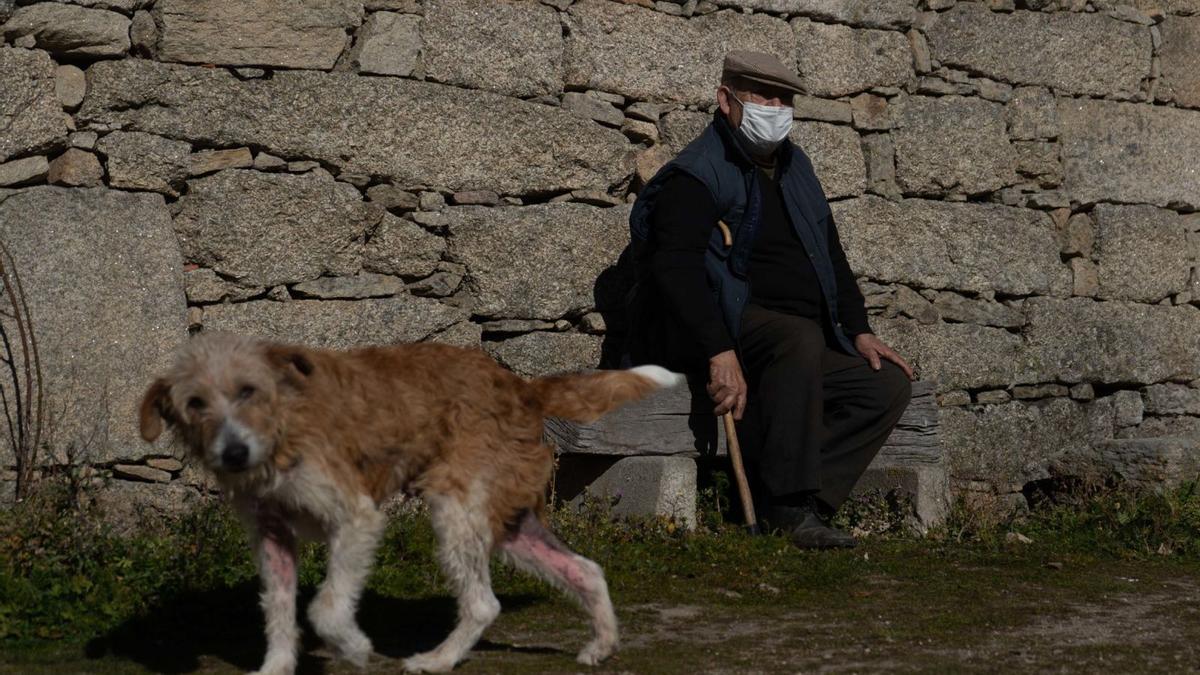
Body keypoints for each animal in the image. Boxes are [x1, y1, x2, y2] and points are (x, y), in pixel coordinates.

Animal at [136, 331, 681, 672]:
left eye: (248, 391)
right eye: (195, 404)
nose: (233, 453)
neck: (281, 428)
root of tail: (521, 386)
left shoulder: (355, 517)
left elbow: (326, 606)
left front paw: (354, 648)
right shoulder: (271, 535)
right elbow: (279, 607)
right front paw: (276, 667)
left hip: (455, 507)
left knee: (483, 603)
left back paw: (437, 660)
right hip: (507, 523)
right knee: (585, 569)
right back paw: (601, 645)